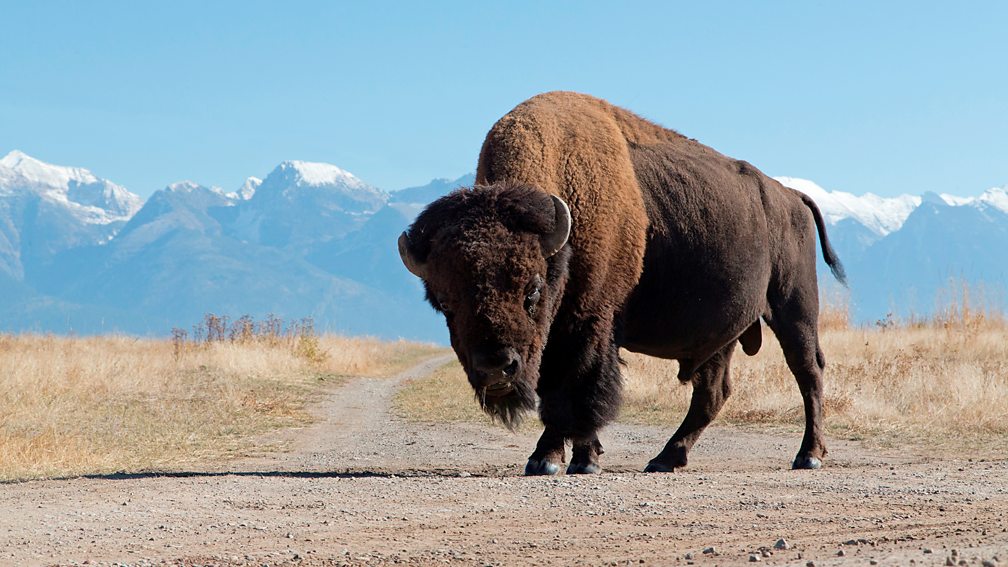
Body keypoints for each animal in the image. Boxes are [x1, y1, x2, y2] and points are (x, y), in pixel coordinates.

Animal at [397, 91, 846, 472]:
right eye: (445, 303)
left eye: (533, 290)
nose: (495, 368)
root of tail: (790, 195)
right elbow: (556, 390)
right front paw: (561, 457)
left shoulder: (588, 323)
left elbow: (577, 388)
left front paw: (568, 460)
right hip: (725, 332)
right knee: (713, 391)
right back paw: (667, 458)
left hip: (794, 308)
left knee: (808, 371)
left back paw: (808, 456)